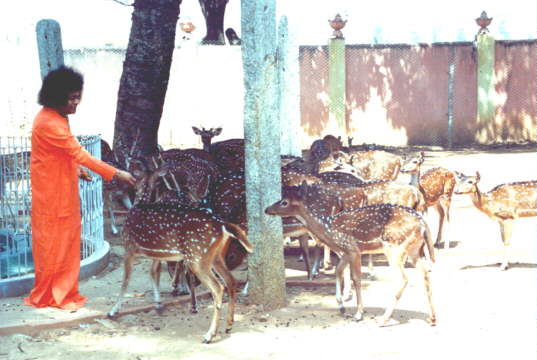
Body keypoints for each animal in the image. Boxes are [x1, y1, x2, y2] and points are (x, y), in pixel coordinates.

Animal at [109, 158, 253, 344]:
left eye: (136, 171)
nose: (125, 168)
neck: (138, 205)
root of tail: (223, 226)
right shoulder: (157, 253)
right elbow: (153, 274)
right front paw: (158, 304)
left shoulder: (129, 247)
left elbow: (125, 281)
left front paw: (113, 310)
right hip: (216, 256)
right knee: (230, 280)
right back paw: (228, 326)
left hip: (197, 257)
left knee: (217, 287)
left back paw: (209, 335)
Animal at [264, 181, 436, 324]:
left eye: (284, 202)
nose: (267, 209)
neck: (329, 229)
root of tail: (423, 224)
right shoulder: (345, 252)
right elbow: (338, 271)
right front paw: (341, 306)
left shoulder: (353, 249)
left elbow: (356, 279)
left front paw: (358, 314)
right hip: (414, 250)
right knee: (425, 274)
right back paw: (432, 317)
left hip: (394, 248)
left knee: (403, 279)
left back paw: (384, 319)